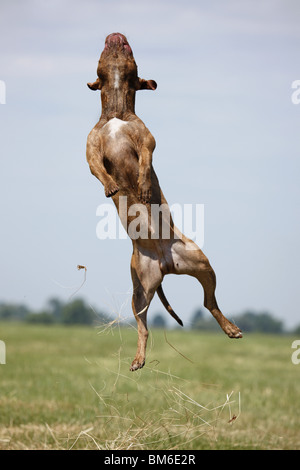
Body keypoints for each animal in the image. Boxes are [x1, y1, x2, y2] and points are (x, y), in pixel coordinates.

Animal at [86, 33, 241, 370]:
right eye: (105, 50)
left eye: (128, 49)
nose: (115, 35)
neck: (116, 113)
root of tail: (165, 265)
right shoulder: (90, 149)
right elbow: (97, 169)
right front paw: (111, 186)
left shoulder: (146, 140)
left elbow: (146, 160)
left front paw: (144, 187)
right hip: (139, 290)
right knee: (143, 326)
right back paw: (138, 358)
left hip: (201, 263)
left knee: (210, 302)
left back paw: (231, 328)